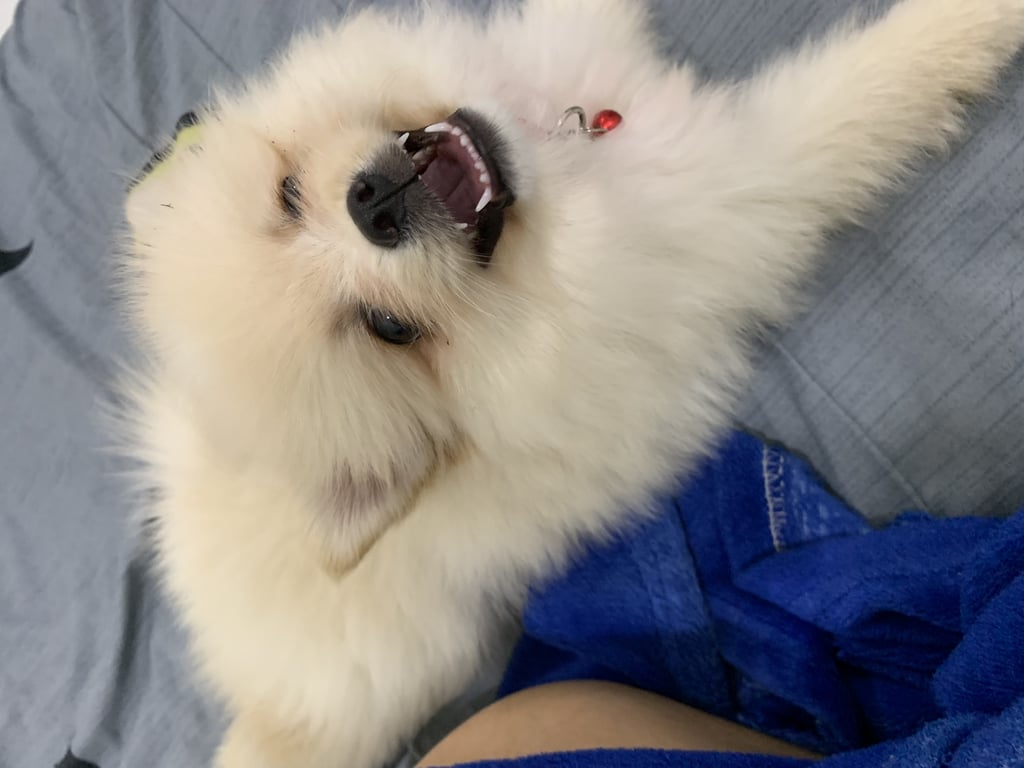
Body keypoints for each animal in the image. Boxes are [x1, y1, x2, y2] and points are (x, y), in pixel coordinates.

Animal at [120, 0, 1024, 765]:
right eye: (389, 330)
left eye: (288, 195)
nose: (371, 203)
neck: (561, 163)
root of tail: (253, 689)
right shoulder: (752, 183)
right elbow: (871, 89)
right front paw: (980, 21)